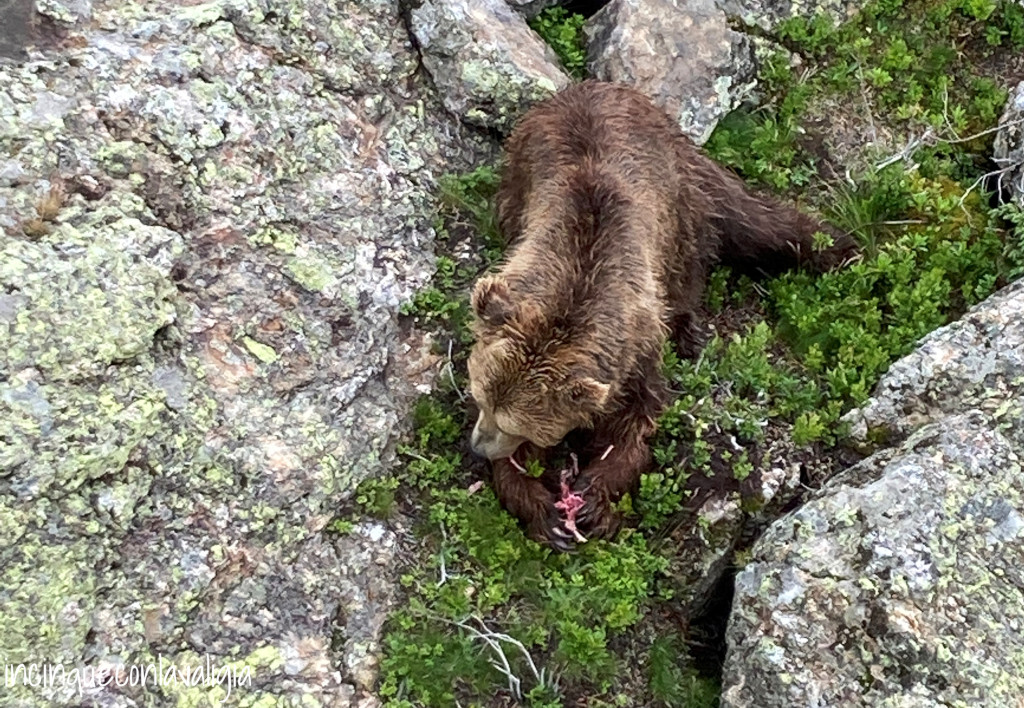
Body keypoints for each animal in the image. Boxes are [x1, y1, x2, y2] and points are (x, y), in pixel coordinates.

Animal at [466, 80, 855, 550]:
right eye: (479, 398)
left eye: (515, 423)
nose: (479, 446)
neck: (575, 295)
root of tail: (595, 85)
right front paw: (544, 511)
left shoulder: (635, 352)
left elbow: (636, 423)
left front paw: (595, 498)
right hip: (519, 176)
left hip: (681, 195)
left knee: (740, 229)